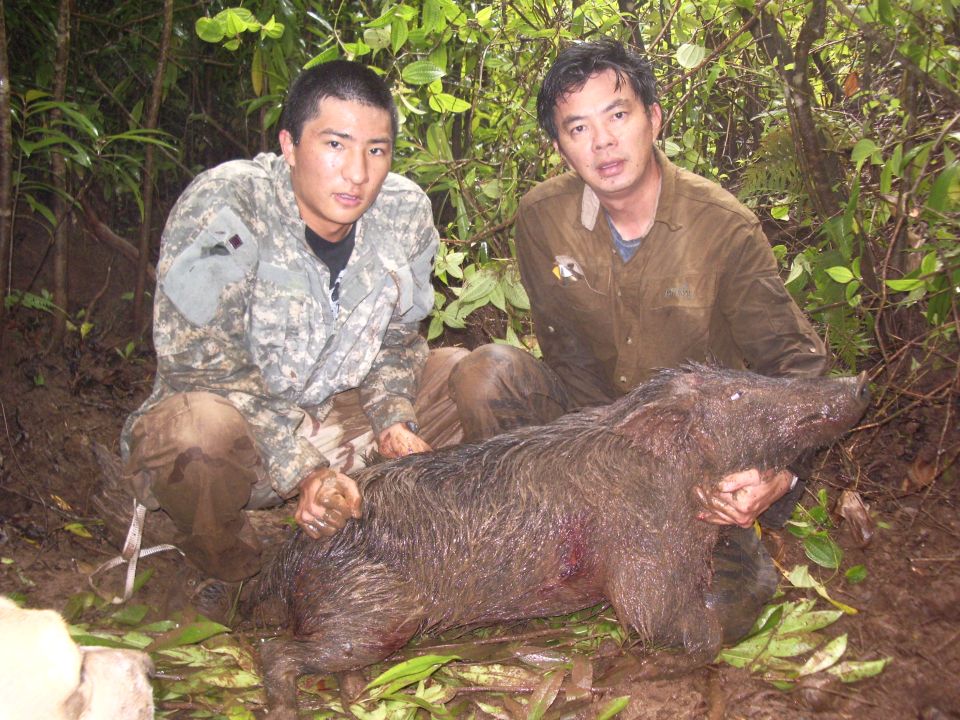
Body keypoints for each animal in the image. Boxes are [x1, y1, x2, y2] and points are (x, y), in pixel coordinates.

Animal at [247, 364, 870, 719]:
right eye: (738, 395)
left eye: (753, 375)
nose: (858, 382)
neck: (678, 477)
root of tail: (290, 555)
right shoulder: (644, 562)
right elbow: (679, 627)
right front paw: (646, 668)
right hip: (377, 613)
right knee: (276, 652)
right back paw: (291, 708)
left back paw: (353, 696)